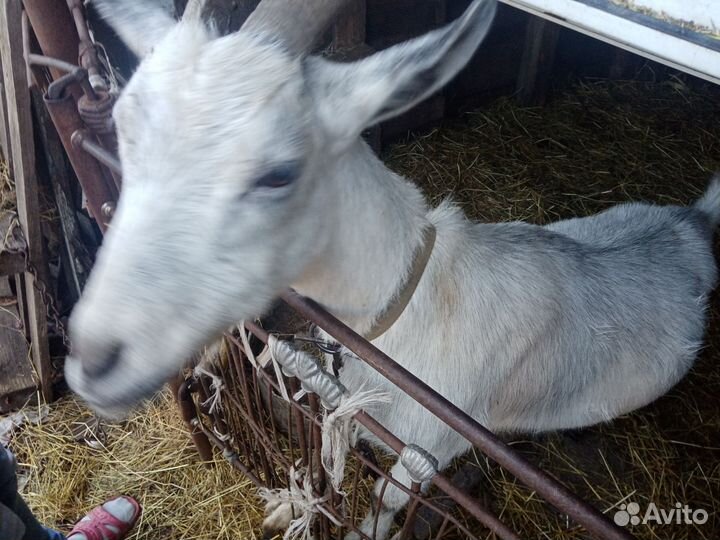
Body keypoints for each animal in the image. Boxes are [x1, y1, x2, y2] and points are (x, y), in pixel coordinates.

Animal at [66, 1, 719, 538]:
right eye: (123, 128)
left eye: (279, 173)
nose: (94, 360)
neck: (407, 308)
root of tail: (691, 223)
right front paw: (290, 507)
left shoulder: (430, 447)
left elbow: (386, 498)